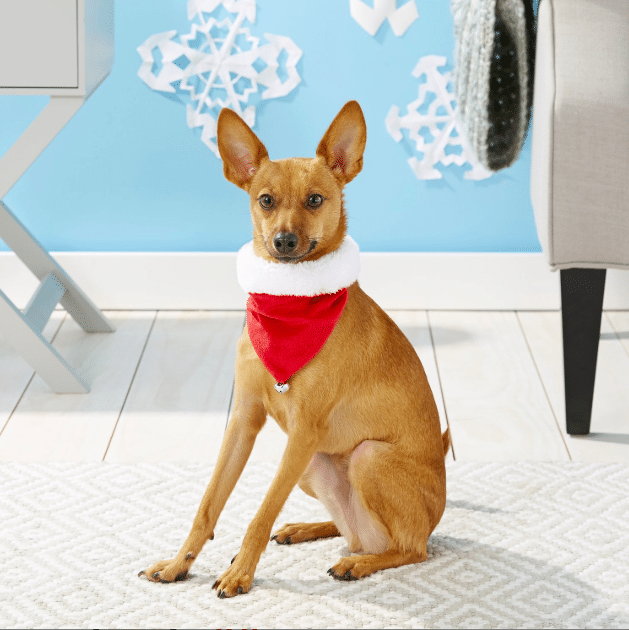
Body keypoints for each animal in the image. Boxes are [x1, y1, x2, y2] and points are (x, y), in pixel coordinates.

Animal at [140, 101, 448, 600]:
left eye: (316, 200)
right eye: (265, 200)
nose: (283, 241)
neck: (288, 307)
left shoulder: (302, 432)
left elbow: (261, 512)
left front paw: (240, 573)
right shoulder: (244, 422)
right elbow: (208, 503)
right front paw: (178, 564)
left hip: (365, 457)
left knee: (409, 549)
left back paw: (359, 564)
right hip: (313, 465)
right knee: (355, 533)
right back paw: (308, 529)